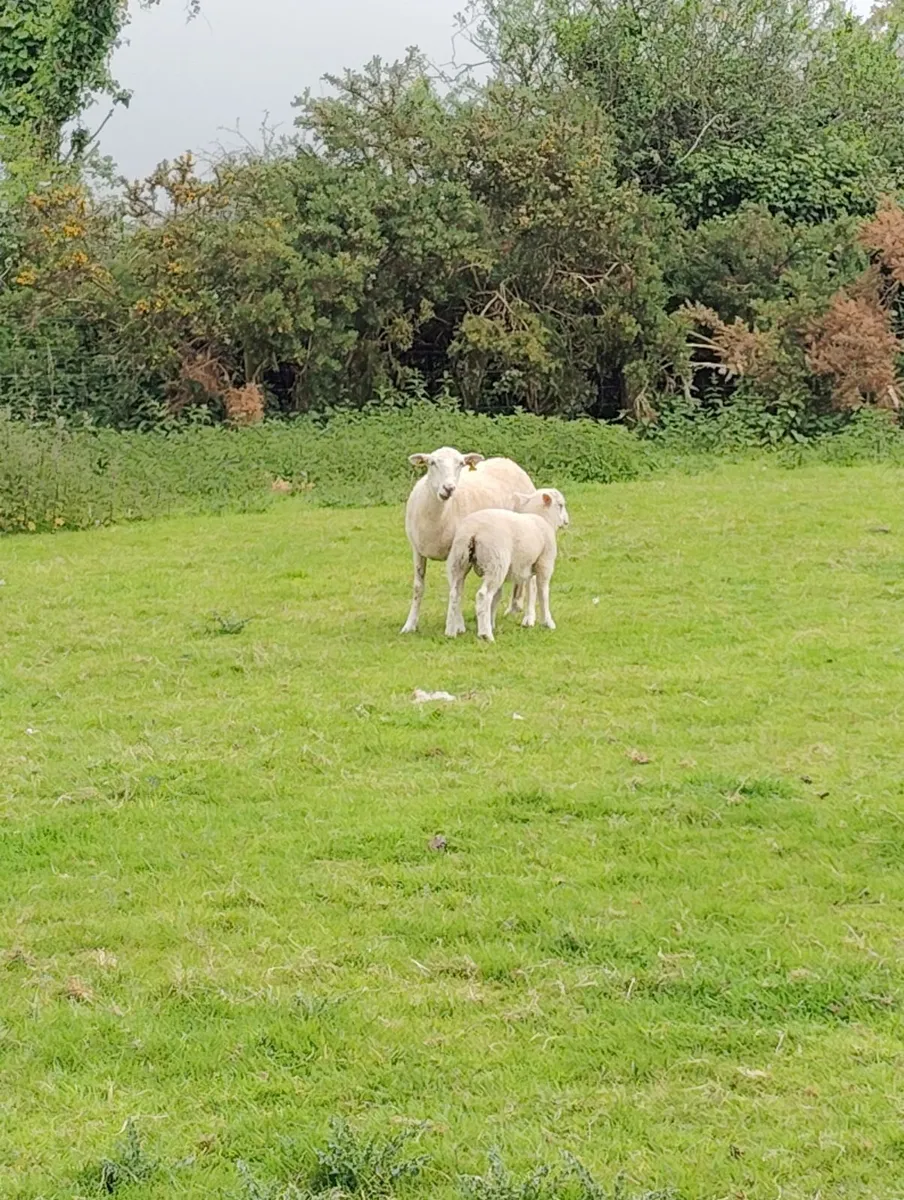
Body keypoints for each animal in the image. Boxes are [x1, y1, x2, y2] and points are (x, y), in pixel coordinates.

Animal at [401, 446, 537, 634]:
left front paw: (457, 625)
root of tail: (508, 461)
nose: (449, 488)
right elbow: (418, 587)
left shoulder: (458, 552)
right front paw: (410, 625)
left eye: (461, 464)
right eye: (432, 463)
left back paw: (529, 618)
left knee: (532, 579)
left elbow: (456, 588)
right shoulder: (417, 550)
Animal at [444, 487, 569, 642]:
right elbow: (543, 592)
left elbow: (500, 596)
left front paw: (492, 622)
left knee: (455, 593)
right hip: (496, 561)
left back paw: (451, 631)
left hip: (459, 559)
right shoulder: (545, 562)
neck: (543, 518)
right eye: (560, 505)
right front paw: (548, 622)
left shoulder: (527, 567)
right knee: (483, 595)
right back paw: (486, 634)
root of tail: (473, 530)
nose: (566, 521)